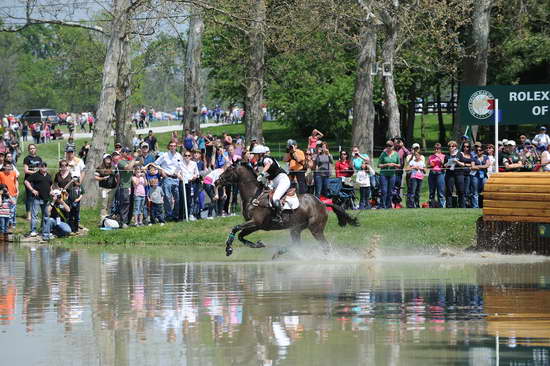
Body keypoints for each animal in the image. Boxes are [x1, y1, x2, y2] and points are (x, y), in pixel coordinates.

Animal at [218, 163, 360, 258]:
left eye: (229, 169)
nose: (217, 180)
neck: (254, 195)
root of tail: (322, 203)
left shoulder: (256, 222)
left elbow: (235, 228)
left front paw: (228, 249)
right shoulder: (256, 225)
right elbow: (241, 235)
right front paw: (259, 244)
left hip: (316, 229)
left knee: (325, 246)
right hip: (296, 228)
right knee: (297, 244)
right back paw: (278, 252)